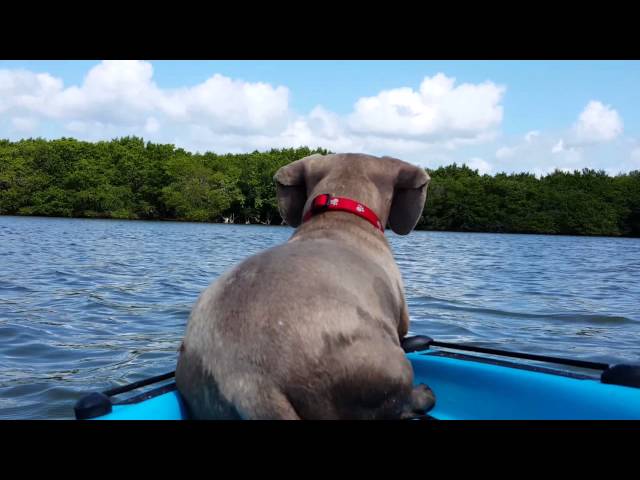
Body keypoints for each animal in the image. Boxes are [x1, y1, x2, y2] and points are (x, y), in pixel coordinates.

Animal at [175, 152, 436, 418]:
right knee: (399, 404)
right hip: (388, 369)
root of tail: (249, 384)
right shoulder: (401, 316)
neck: (340, 216)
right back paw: (423, 394)